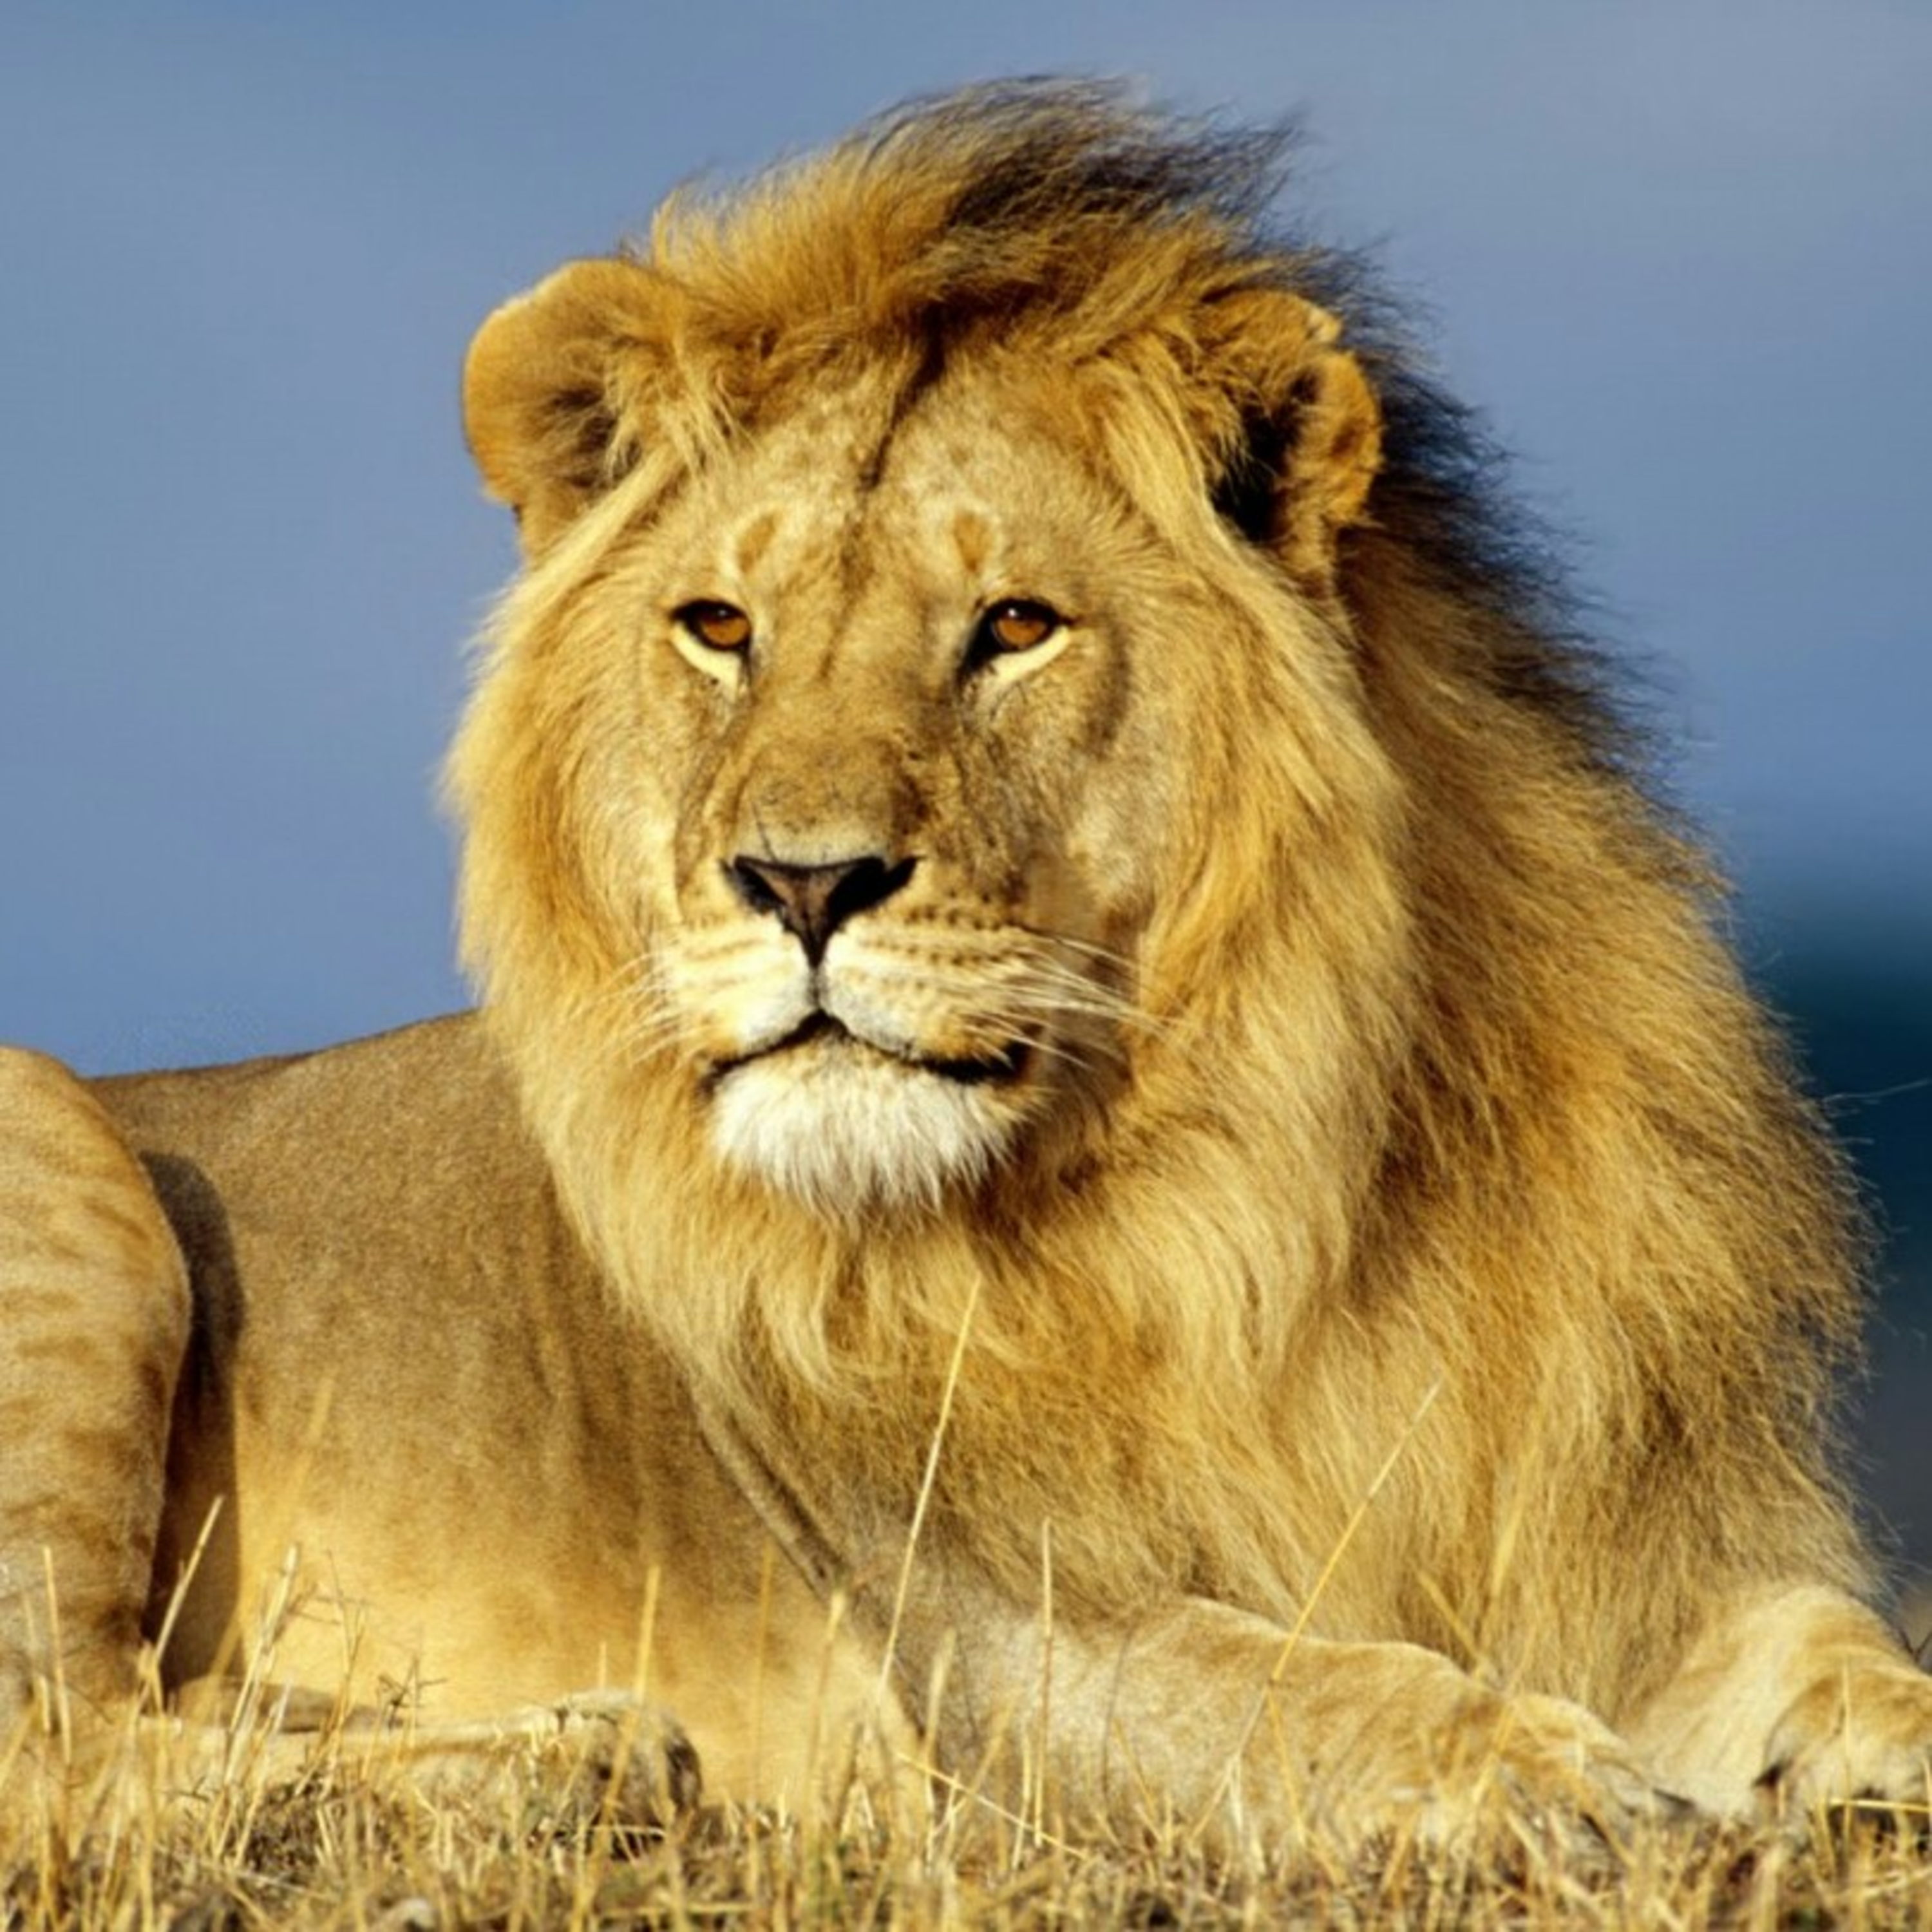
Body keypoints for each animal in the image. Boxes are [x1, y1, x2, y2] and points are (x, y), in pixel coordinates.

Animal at [4, 82, 1929, 1851]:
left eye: (1014, 626)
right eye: (721, 627)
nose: (802, 879)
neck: (1273, 1185)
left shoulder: (1637, 1547)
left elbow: (1838, 1649)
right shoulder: (996, 1646)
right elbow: (1309, 1699)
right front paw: (1546, 1778)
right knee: (67, 1743)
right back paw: (573, 1767)